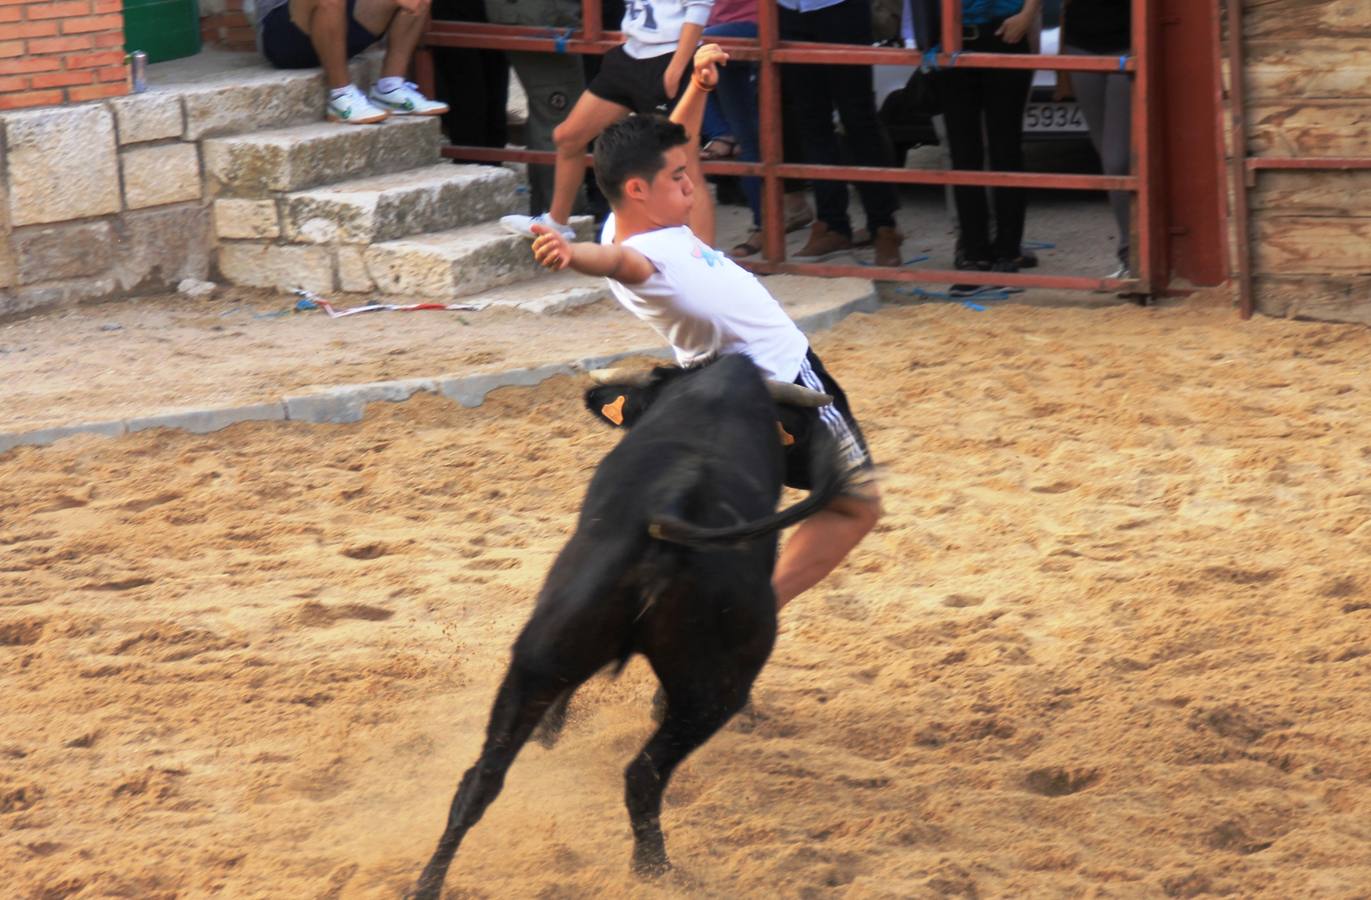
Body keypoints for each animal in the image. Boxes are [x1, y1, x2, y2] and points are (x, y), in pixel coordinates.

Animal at [408, 353, 855, 894]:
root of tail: (672, 517)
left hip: (546, 660)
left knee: (485, 780)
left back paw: (428, 883)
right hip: (714, 692)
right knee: (640, 775)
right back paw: (655, 869)